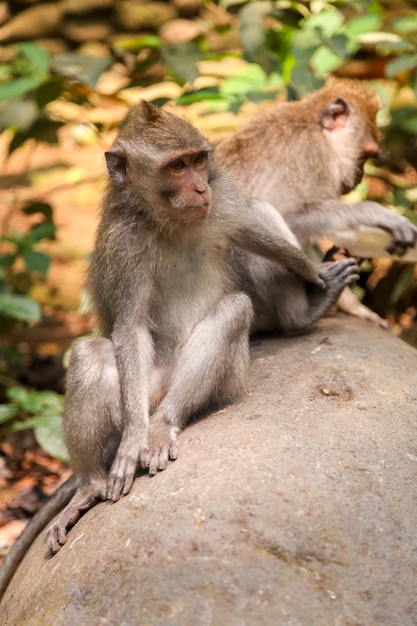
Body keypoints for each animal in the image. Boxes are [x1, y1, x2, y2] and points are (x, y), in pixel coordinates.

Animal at [0, 97, 358, 588]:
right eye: (176, 166)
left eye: (198, 161)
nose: (200, 188)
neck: (169, 221)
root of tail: (157, 397)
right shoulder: (123, 242)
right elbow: (129, 328)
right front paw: (131, 442)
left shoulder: (224, 203)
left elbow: (264, 240)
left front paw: (317, 284)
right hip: (138, 392)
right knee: (92, 354)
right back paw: (94, 480)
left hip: (218, 379)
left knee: (234, 311)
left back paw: (163, 424)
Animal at [216, 78, 416, 326]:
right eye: (364, 155)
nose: (360, 177)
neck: (312, 124)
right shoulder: (311, 159)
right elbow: (290, 217)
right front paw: (373, 213)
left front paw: (353, 305)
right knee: (258, 210)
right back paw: (302, 314)